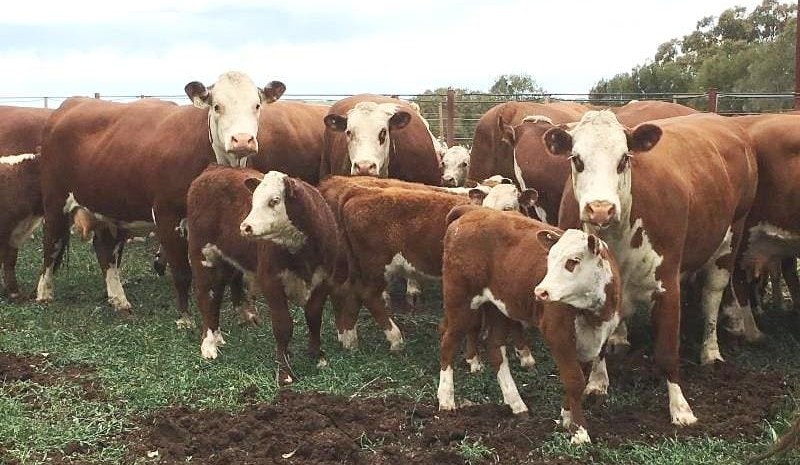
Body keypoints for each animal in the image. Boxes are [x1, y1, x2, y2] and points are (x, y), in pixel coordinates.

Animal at [36, 71, 286, 327]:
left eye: (256, 105)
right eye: (217, 106)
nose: (243, 140)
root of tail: (69, 105)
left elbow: (234, 271)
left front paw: (245, 313)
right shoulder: (168, 215)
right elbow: (182, 271)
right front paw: (185, 318)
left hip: (110, 208)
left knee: (105, 251)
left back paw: (119, 300)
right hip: (55, 202)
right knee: (51, 244)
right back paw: (44, 292)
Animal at [187, 166, 344, 384]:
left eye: (274, 200)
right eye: (253, 201)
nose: (245, 227)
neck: (301, 251)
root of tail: (213, 169)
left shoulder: (323, 280)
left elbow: (313, 317)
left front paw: (317, 355)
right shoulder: (270, 282)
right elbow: (283, 326)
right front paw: (284, 373)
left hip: (226, 258)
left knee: (216, 294)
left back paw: (218, 337)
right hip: (202, 254)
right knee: (205, 295)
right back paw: (209, 343)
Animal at [437, 205, 621, 445]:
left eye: (573, 261)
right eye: (549, 260)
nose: (540, 292)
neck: (593, 312)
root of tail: (471, 210)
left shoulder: (594, 338)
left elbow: (576, 378)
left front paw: (566, 417)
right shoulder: (557, 334)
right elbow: (574, 380)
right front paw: (579, 431)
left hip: (499, 307)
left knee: (495, 349)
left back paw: (516, 404)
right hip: (460, 302)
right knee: (447, 344)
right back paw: (446, 399)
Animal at [549, 110, 757, 425]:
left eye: (624, 159)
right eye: (577, 159)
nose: (600, 209)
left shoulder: (667, 284)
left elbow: (667, 352)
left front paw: (680, 407)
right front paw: (597, 382)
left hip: (731, 237)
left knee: (712, 297)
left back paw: (711, 351)